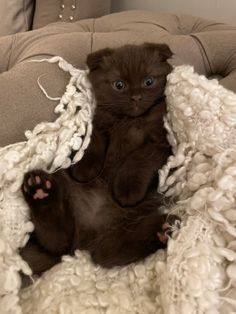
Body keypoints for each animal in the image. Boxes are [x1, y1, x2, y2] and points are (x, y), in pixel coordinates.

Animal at [20, 43, 176, 274]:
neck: (131, 120)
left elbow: (139, 157)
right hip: (64, 186)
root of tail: (85, 238)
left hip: (121, 229)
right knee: (58, 242)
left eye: (149, 81)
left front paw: (126, 188)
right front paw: (84, 169)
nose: (136, 97)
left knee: (108, 252)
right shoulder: (100, 126)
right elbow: (92, 145)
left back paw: (162, 229)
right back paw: (39, 191)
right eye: (119, 85)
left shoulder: (162, 144)